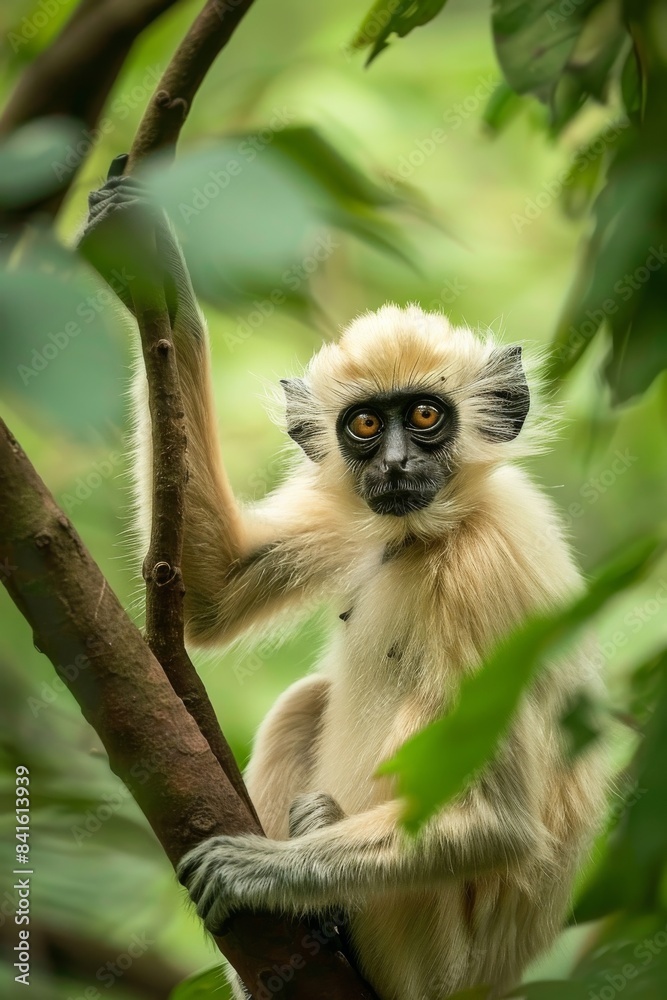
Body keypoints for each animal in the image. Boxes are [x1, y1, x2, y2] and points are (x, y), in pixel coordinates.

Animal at [81, 165, 608, 1000]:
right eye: (363, 425)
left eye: (423, 416)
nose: (391, 464)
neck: (428, 539)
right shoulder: (358, 515)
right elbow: (212, 588)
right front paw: (148, 264)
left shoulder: (486, 573)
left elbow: (497, 820)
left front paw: (261, 873)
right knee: (304, 701)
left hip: (426, 959)